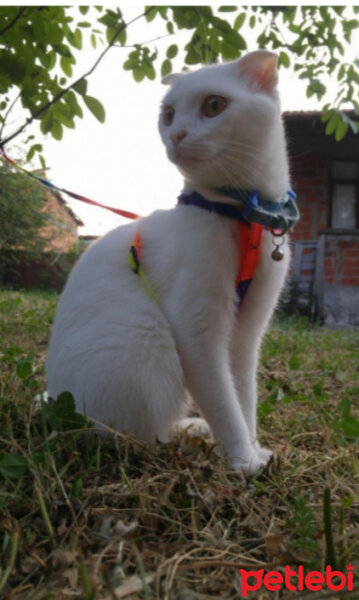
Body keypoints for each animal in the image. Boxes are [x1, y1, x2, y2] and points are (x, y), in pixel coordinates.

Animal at [46, 50, 296, 474]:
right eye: (168, 114)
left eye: (214, 106)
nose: (176, 134)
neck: (244, 216)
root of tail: (49, 401)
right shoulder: (196, 331)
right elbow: (223, 402)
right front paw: (242, 461)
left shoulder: (247, 334)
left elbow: (244, 396)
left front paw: (254, 448)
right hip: (146, 341)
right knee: (133, 433)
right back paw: (187, 432)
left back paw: (194, 429)